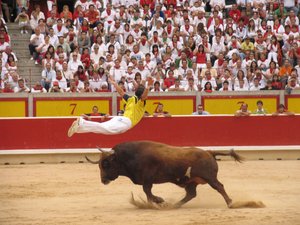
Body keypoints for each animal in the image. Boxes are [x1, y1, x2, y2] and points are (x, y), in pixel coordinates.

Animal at [85, 141, 244, 207]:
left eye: (106, 164)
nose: (103, 180)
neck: (129, 156)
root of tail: (209, 152)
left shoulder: (147, 179)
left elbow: (147, 192)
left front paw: (157, 201)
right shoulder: (147, 181)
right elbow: (148, 192)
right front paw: (159, 201)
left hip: (210, 178)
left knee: (219, 187)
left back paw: (230, 203)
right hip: (191, 182)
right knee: (191, 194)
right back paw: (174, 205)